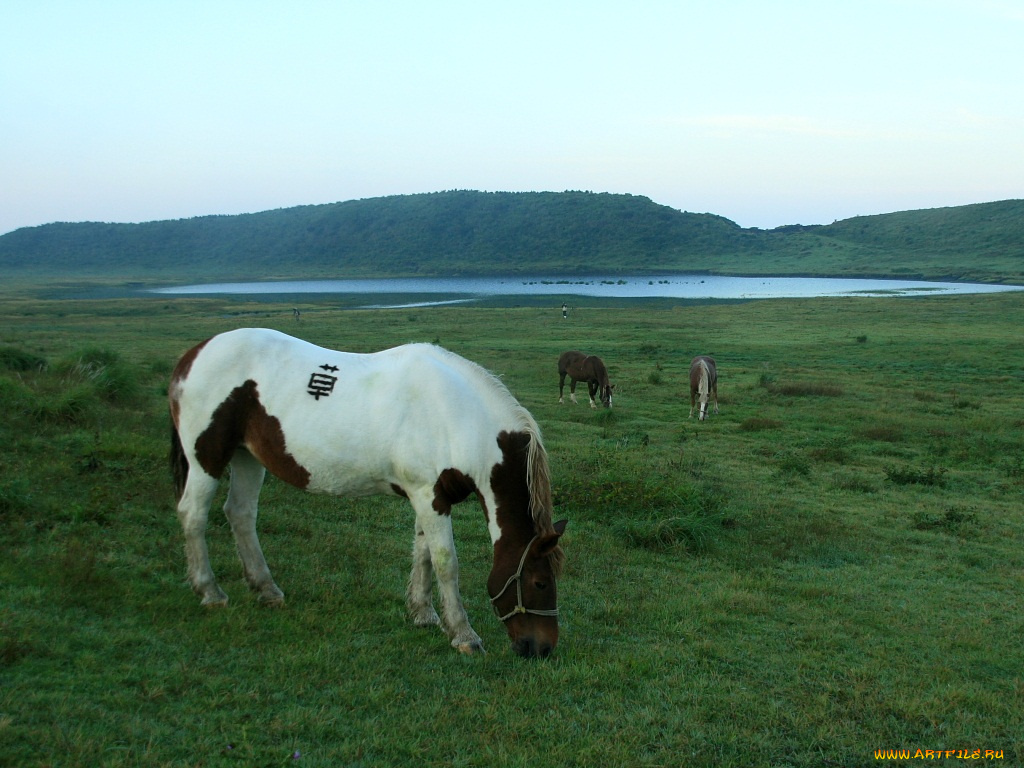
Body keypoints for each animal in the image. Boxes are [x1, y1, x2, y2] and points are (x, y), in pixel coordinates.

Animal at [168, 327, 569, 659]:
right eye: (540, 582)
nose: (543, 648)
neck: (454, 415)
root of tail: (194, 354)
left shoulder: (427, 496)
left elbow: (423, 553)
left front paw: (423, 614)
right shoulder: (429, 496)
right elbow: (445, 562)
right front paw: (463, 634)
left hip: (248, 457)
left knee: (240, 514)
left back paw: (267, 589)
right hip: (207, 458)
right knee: (193, 515)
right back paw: (210, 592)